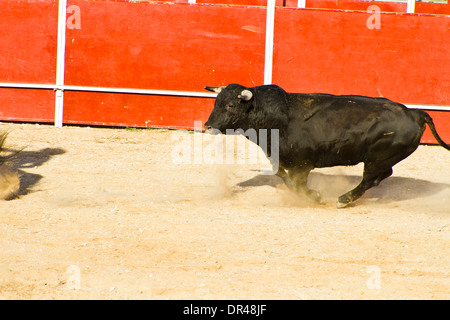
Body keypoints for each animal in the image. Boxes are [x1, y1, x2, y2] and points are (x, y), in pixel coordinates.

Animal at [205, 83, 450, 208]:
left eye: (230, 105)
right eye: (216, 102)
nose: (207, 126)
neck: (276, 117)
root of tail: (416, 113)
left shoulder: (302, 164)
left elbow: (297, 184)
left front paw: (317, 197)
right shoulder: (282, 160)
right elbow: (283, 177)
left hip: (377, 157)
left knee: (371, 178)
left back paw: (343, 199)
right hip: (380, 158)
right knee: (381, 175)